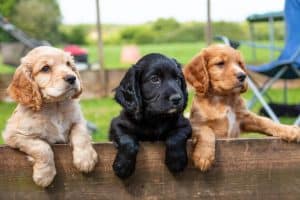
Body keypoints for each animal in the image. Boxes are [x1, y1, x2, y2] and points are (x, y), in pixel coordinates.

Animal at [2, 46, 98, 188]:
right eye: (45, 68)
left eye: (68, 64)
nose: (72, 78)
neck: (55, 106)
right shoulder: (15, 135)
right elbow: (42, 148)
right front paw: (44, 176)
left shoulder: (79, 120)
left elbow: (81, 133)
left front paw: (86, 159)